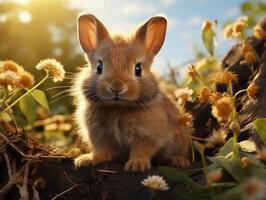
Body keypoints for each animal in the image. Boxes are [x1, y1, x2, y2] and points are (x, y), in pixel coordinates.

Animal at [73, 13, 191, 172]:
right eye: (99, 67)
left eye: (138, 69)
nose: (116, 86)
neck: (118, 107)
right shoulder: (99, 135)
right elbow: (102, 150)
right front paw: (87, 160)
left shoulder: (147, 135)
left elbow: (141, 149)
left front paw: (137, 165)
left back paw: (177, 160)